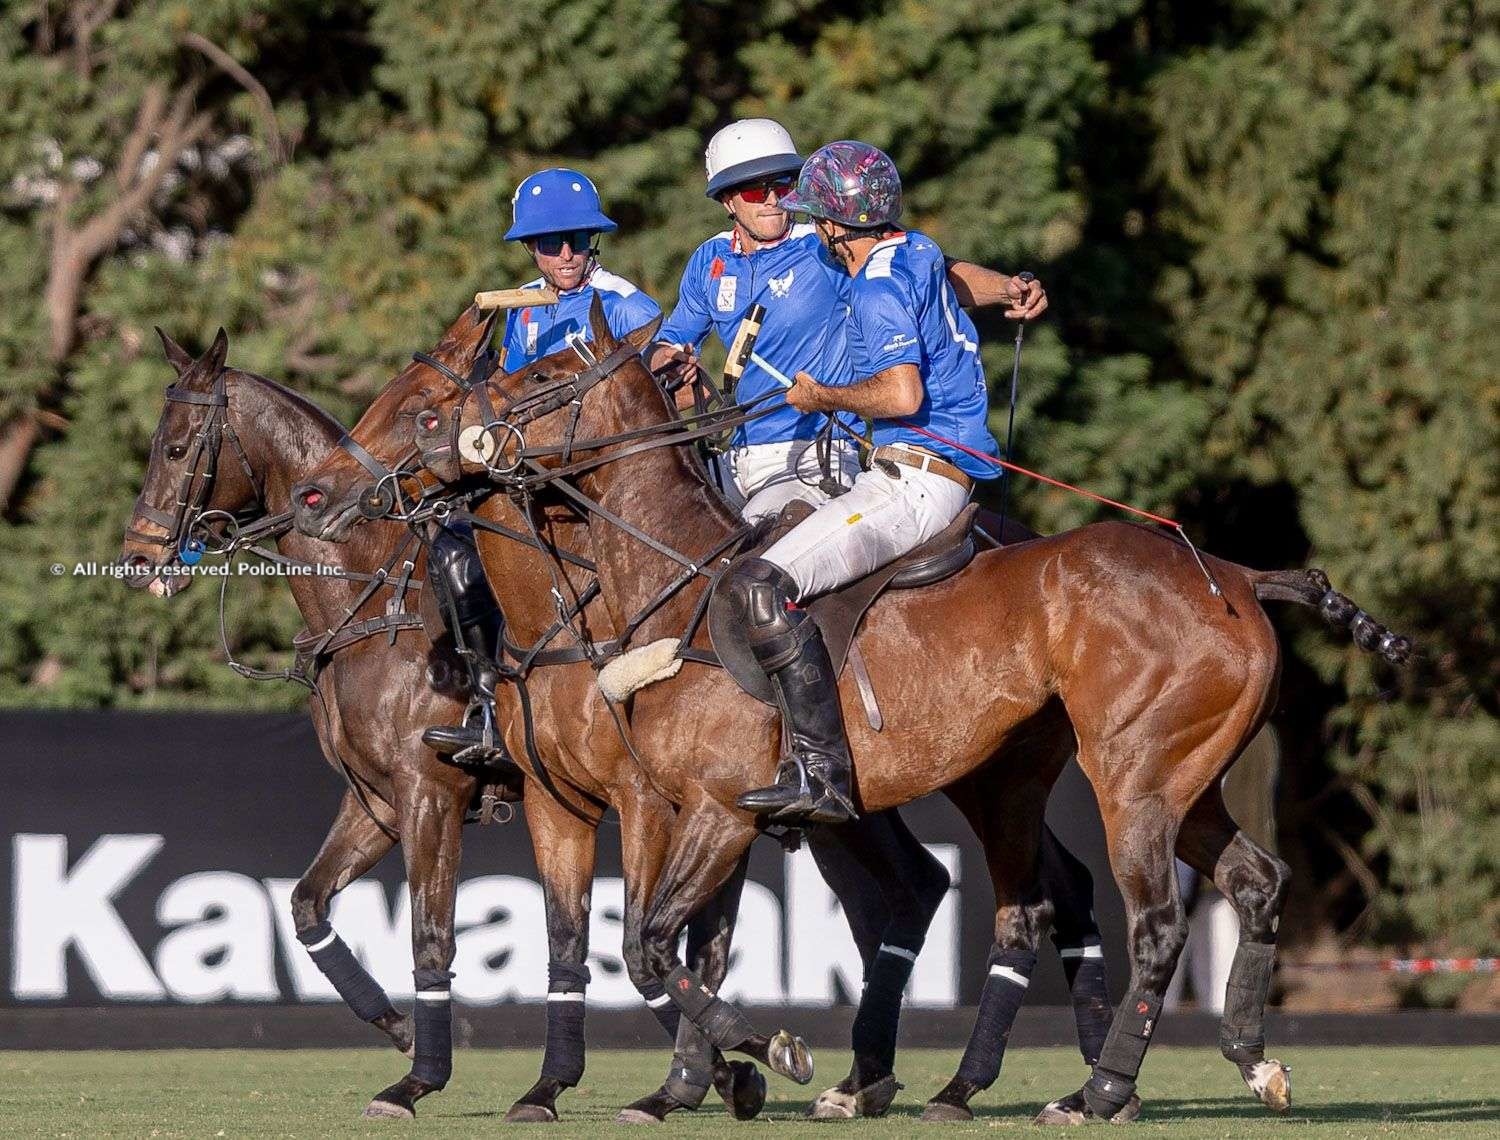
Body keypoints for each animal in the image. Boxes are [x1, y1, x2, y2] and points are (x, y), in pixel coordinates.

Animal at [117, 327, 780, 1122]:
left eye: (178, 447)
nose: (137, 557)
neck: (374, 600)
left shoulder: (433, 793)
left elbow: (433, 939)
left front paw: (417, 1080)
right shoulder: (377, 802)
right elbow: (307, 904)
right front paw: (401, 1031)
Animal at [286, 300, 1410, 1122]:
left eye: (529, 382)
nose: (324, 494)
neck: (644, 588)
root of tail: (1235, 573)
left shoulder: (707, 807)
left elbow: (652, 942)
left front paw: (755, 1055)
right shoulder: (648, 806)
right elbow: (651, 945)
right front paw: (729, 1067)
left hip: (1129, 773)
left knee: (1152, 919)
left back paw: (1095, 1090)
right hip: (1164, 774)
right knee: (1236, 884)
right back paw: (1240, 1062)